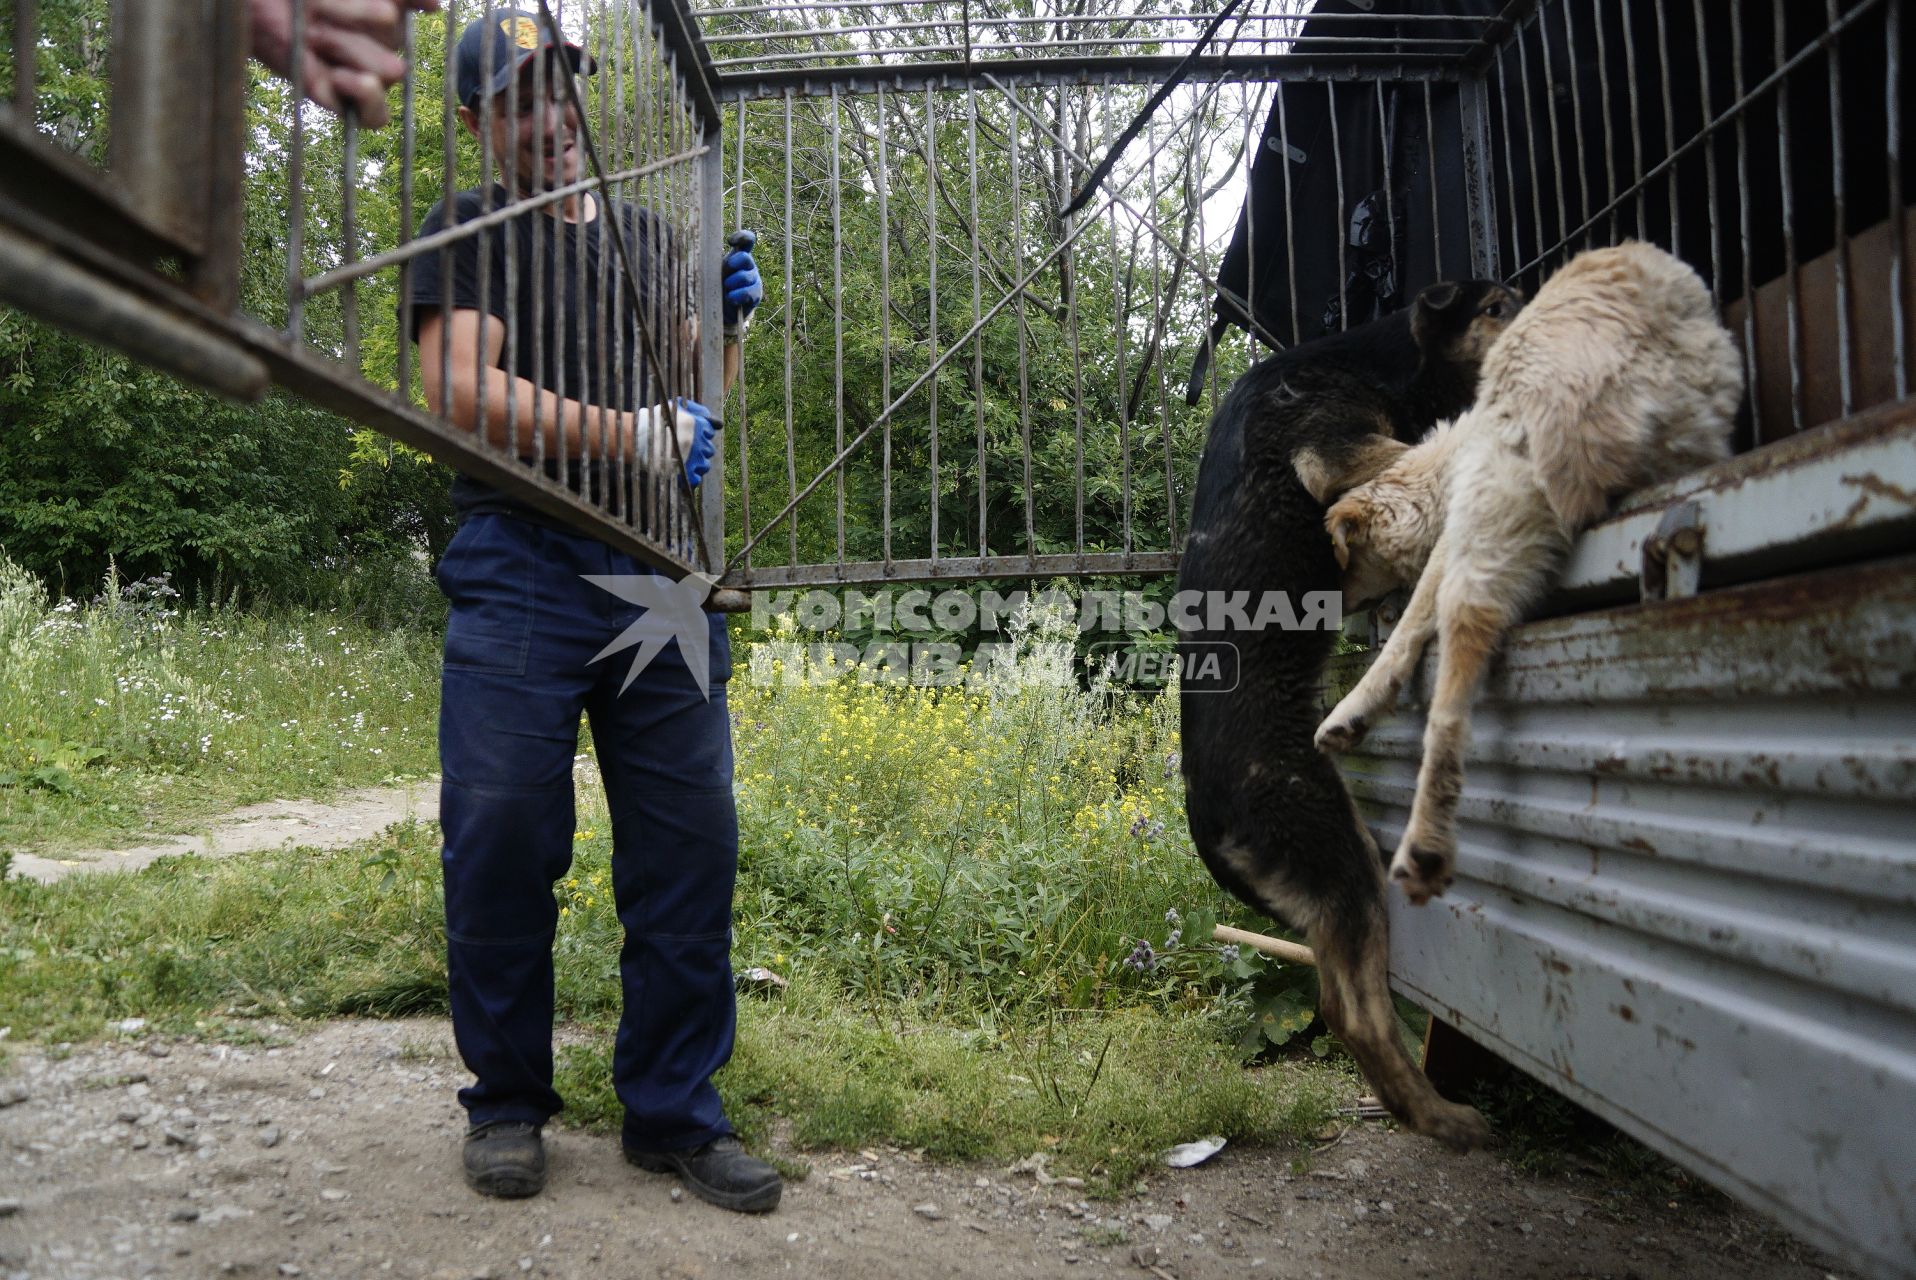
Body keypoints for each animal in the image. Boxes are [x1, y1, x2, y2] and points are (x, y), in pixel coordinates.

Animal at [1172, 281, 1517, 1149]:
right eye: (1497, 305)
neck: (1371, 355)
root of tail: (1206, 818)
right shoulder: (1345, 456)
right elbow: (1429, 446)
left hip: (1333, 883)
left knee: (1339, 994)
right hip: (1343, 859)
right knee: (1351, 1010)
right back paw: (1440, 1116)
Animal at [1318, 245, 1739, 904]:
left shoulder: (1458, 518)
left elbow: (1411, 623)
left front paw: (1354, 709)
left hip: (1501, 494)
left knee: (1462, 647)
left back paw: (1425, 849)